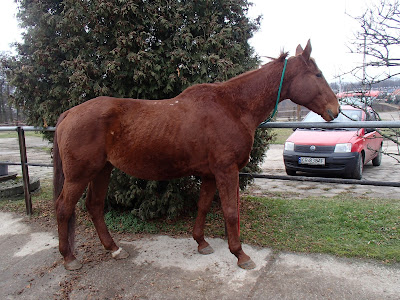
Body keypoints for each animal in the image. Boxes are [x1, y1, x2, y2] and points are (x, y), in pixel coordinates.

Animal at [54, 39, 340, 270]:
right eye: (317, 74)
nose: (335, 110)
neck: (233, 107)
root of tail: (69, 113)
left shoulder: (211, 174)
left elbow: (203, 206)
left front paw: (201, 242)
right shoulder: (226, 170)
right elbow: (230, 211)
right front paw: (240, 255)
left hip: (102, 170)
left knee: (94, 206)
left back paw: (114, 249)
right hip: (80, 175)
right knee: (64, 208)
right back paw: (69, 258)